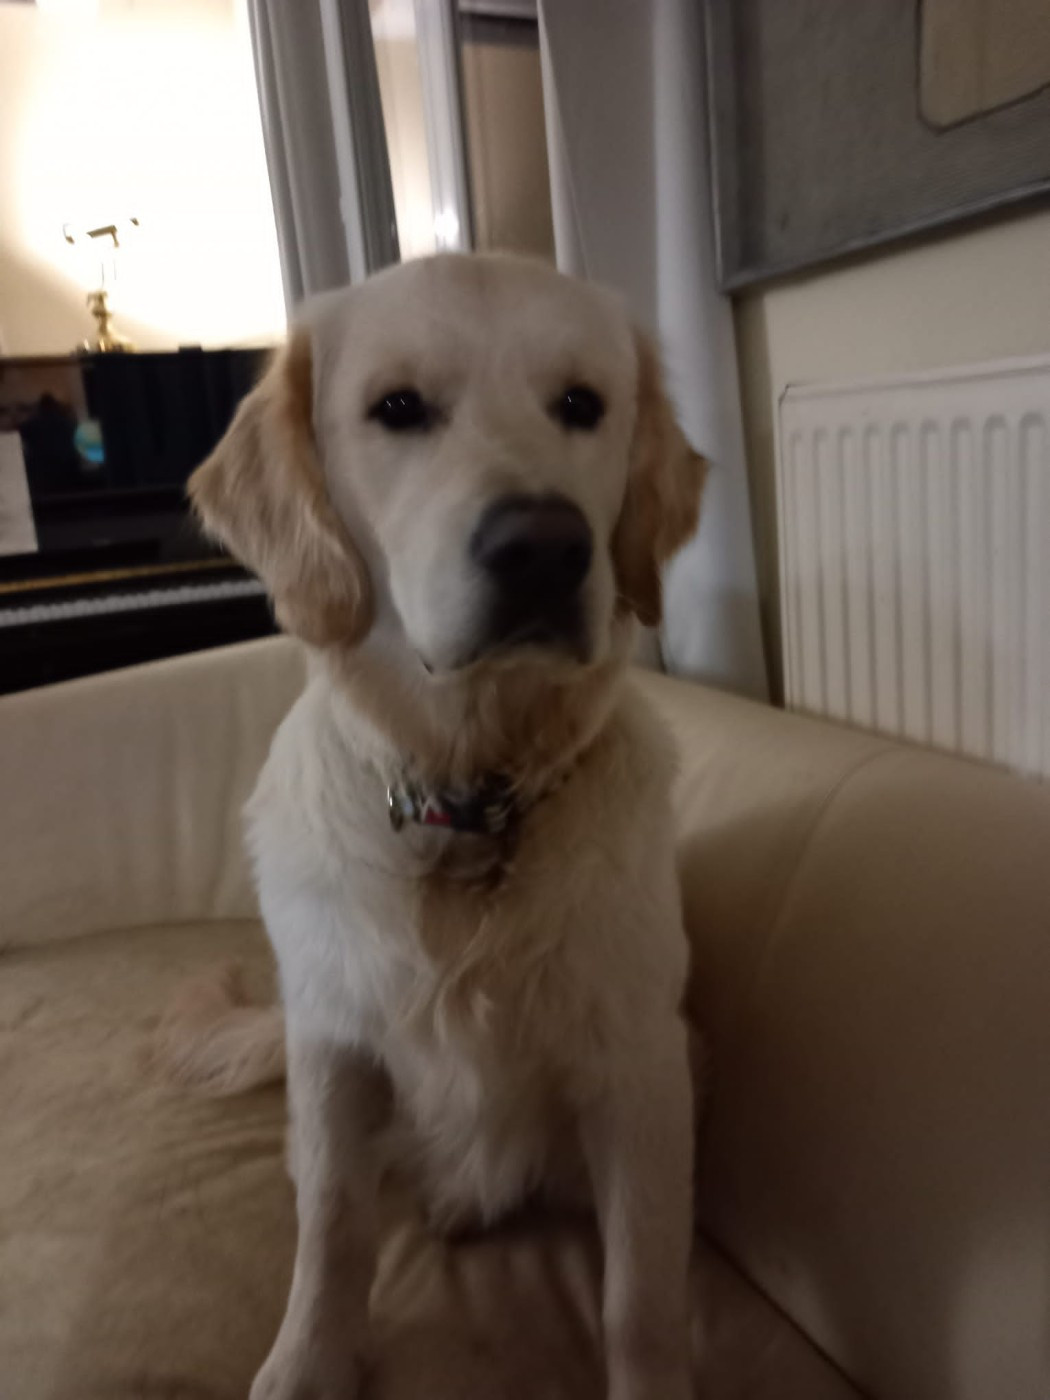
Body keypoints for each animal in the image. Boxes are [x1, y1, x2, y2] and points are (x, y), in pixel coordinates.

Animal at [187, 252, 706, 1400]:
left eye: (582, 405)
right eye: (397, 408)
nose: (544, 547)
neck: (468, 793)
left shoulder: (640, 1066)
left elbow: (642, 1294)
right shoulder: (332, 1048)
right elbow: (332, 1228)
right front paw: (309, 1361)